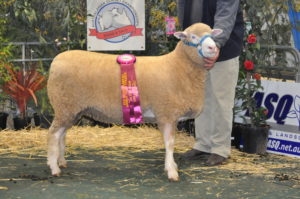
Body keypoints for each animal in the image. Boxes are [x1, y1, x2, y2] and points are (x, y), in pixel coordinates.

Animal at [47, 22, 223, 181]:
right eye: (193, 37)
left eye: (212, 35)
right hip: (64, 105)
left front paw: (171, 166)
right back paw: (54, 167)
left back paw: (61, 161)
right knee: (53, 134)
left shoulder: (169, 114)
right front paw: (172, 171)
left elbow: (169, 144)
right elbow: (170, 144)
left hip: (71, 109)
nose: (213, 48)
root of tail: (56, 61)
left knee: (61, 134)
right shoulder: (166, 113)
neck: (177, 66)